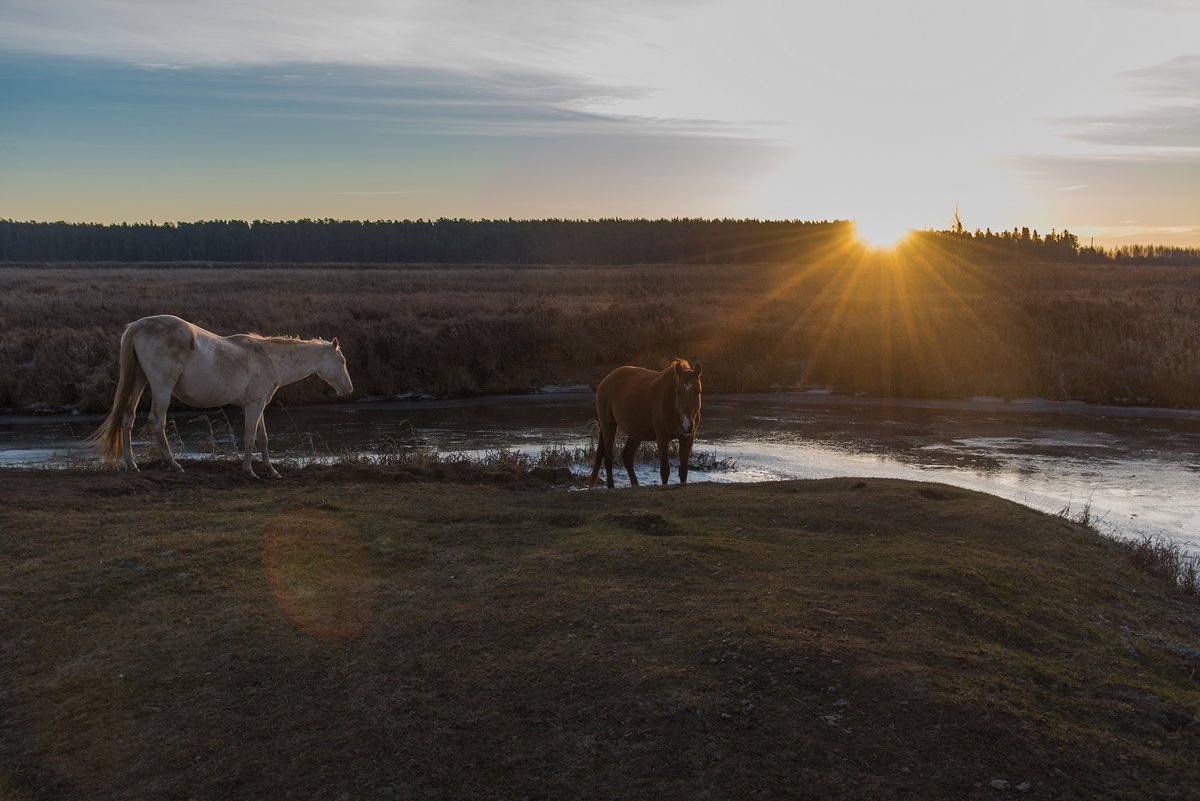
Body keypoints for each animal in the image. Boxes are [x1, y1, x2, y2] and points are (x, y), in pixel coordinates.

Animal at [87, 311, 352, 474]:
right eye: (342, 361)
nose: (349, 389)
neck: (269, 358)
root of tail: (137, 326)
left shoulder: (256, 405)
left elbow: (263, 438)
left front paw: (271, 470)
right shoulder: (254, 405)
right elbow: (249, 436)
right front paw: (249, 471)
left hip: (139, 381)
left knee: (128, 418)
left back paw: (132, 464)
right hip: (162, 386)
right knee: (157, 420)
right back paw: (173, 464)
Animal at [585, 357, 700, 489]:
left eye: (697, 390)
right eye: (678, 391)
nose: (687, 424)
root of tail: (604, 381)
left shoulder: (687, 438)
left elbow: (683, 471)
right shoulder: (662, 438)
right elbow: (665, 470)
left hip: (636, 433)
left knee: (627, 456)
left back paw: (635, 484)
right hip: (608, 426)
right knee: (608, 457)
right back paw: (611, 487)